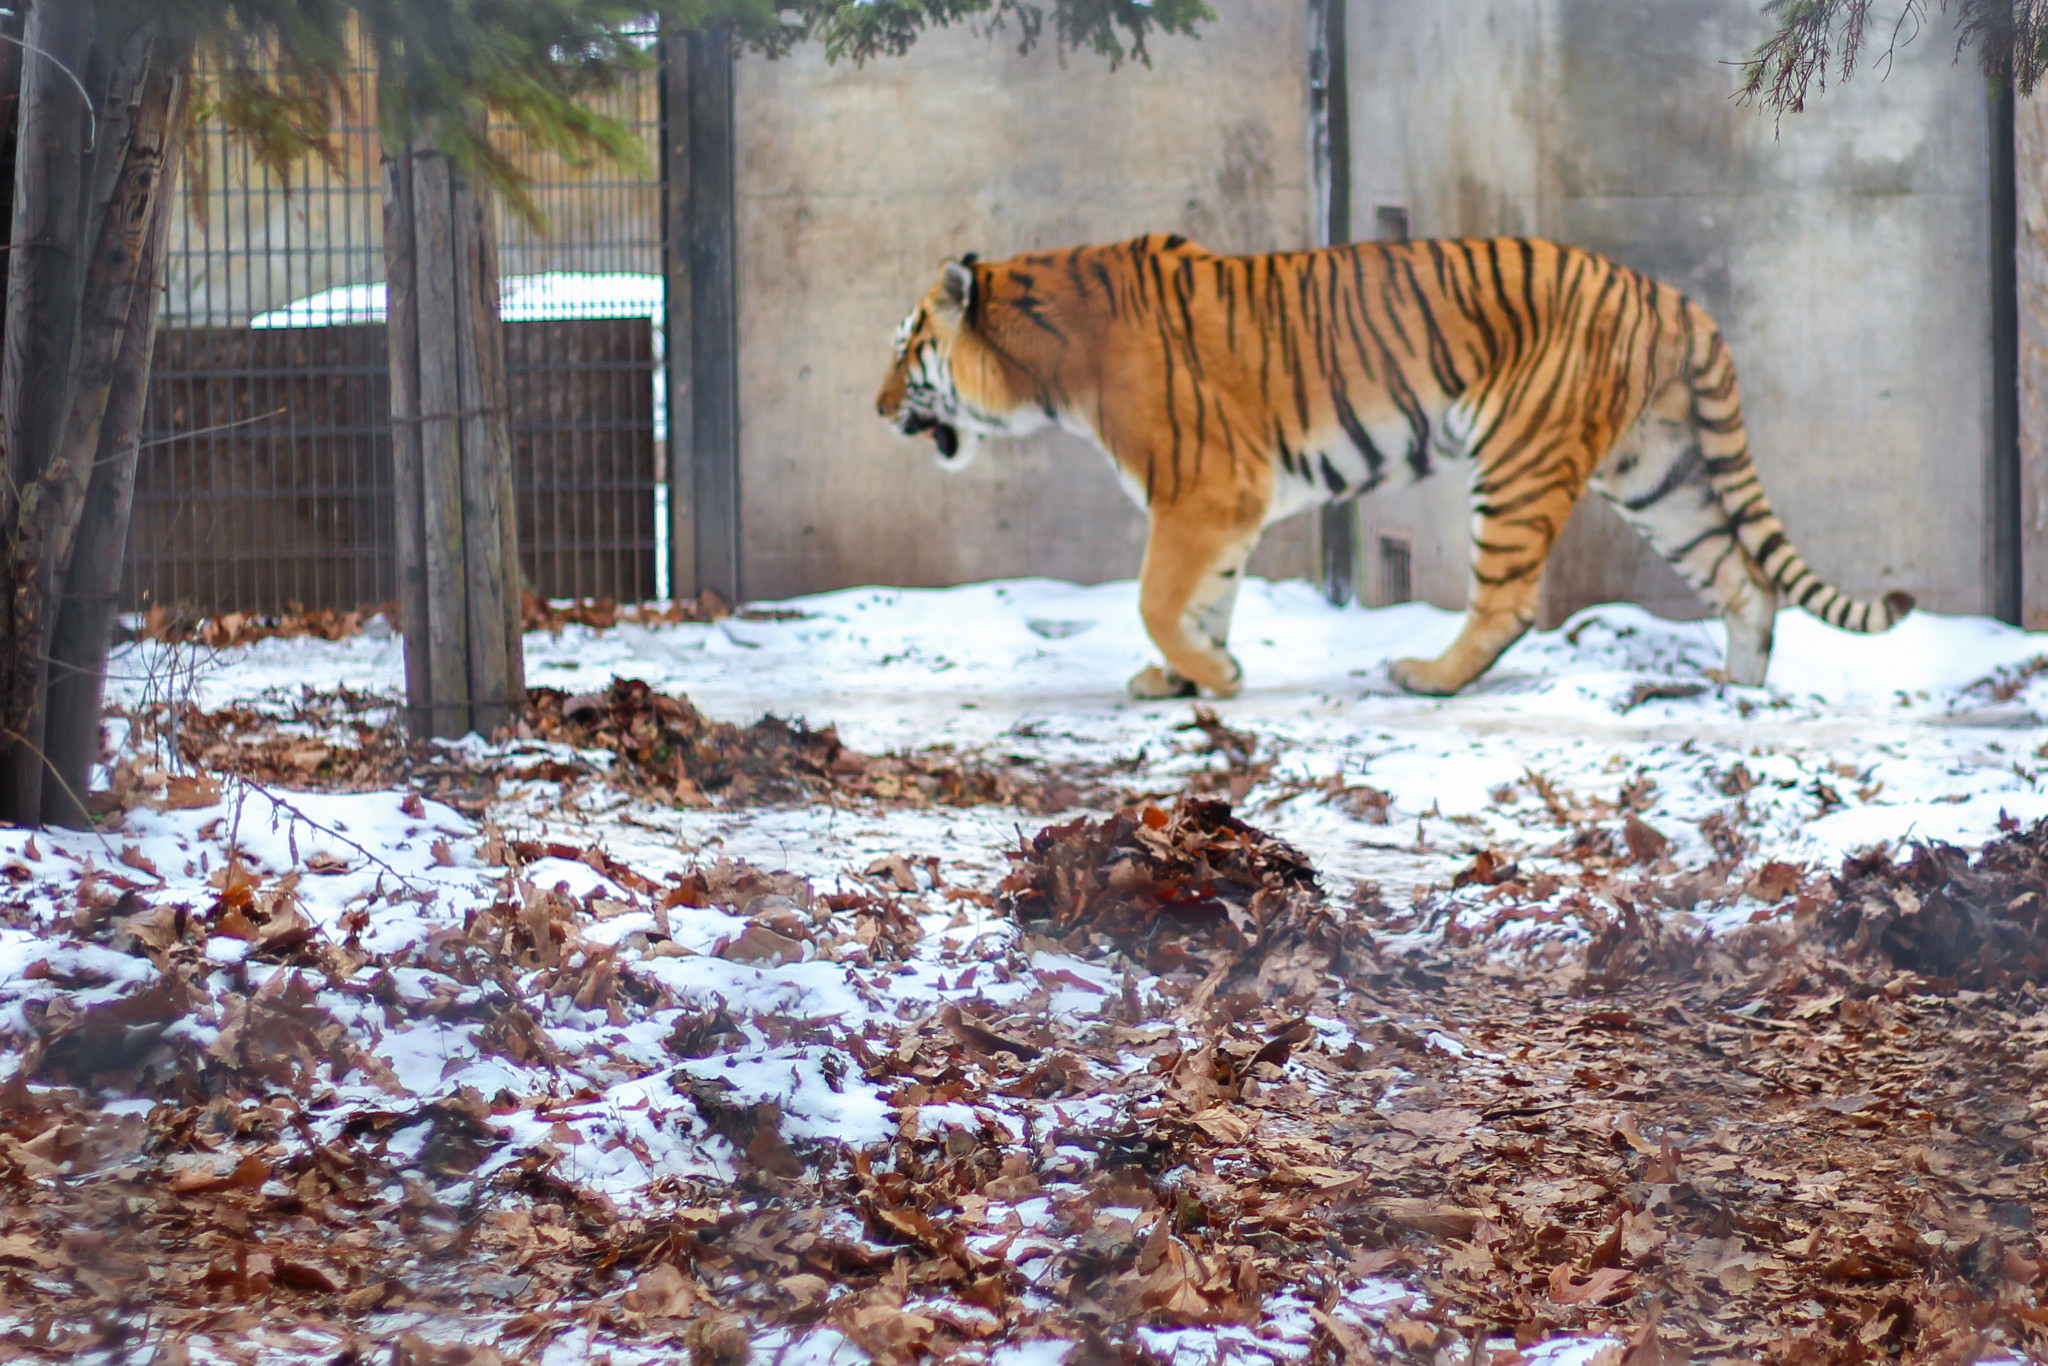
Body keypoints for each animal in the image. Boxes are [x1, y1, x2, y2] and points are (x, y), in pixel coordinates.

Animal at [872, 235, 1908, 700]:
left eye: (905, 347)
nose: (878, 410)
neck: (1045, 367)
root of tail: (1667, 295)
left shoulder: (1203, 491)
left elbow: (1159, 598)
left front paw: (1213, 675)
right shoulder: (1221, 510)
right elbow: (1207, 596)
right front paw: (1188, 677)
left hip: (1518, 456)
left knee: (1509, 603)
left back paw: (1427, 674)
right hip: (1659, 470)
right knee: (1744, 581)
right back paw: (1738, 691)